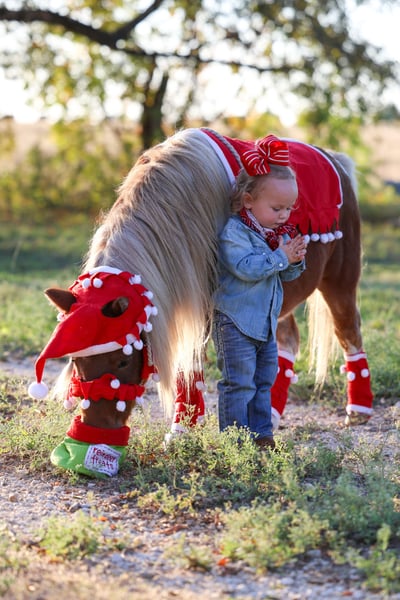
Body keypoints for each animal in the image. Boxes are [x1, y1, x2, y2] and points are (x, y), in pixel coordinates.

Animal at [29, 127, 373, 477]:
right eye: (76, 362)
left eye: (122, 362)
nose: (94, 432)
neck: (178, 213)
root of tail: (336, 160)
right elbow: (190, 366)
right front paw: (184, 430)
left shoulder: (206, 308)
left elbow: (190, 363)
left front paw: (183, 429)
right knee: (288, 340)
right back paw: (273, 416)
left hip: (340, 280)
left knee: (348, 331)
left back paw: (358, 410)